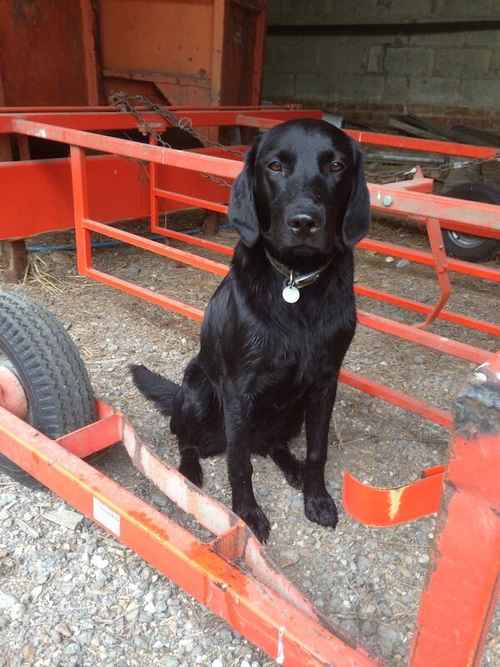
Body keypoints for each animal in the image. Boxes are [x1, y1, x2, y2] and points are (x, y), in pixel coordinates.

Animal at [131, 118, 370, 544]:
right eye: (275, 166)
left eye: (336, 166)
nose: (304, 221)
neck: (295, 280)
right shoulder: (239, 390)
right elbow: (239, 463)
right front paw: (246, 515)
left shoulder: (325, 383)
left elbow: (317, 451)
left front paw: (317, 498)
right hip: (198, 391)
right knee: (186, 439)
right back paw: (188, 473)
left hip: (294, 410)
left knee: (273, 445)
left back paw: (291, 467)